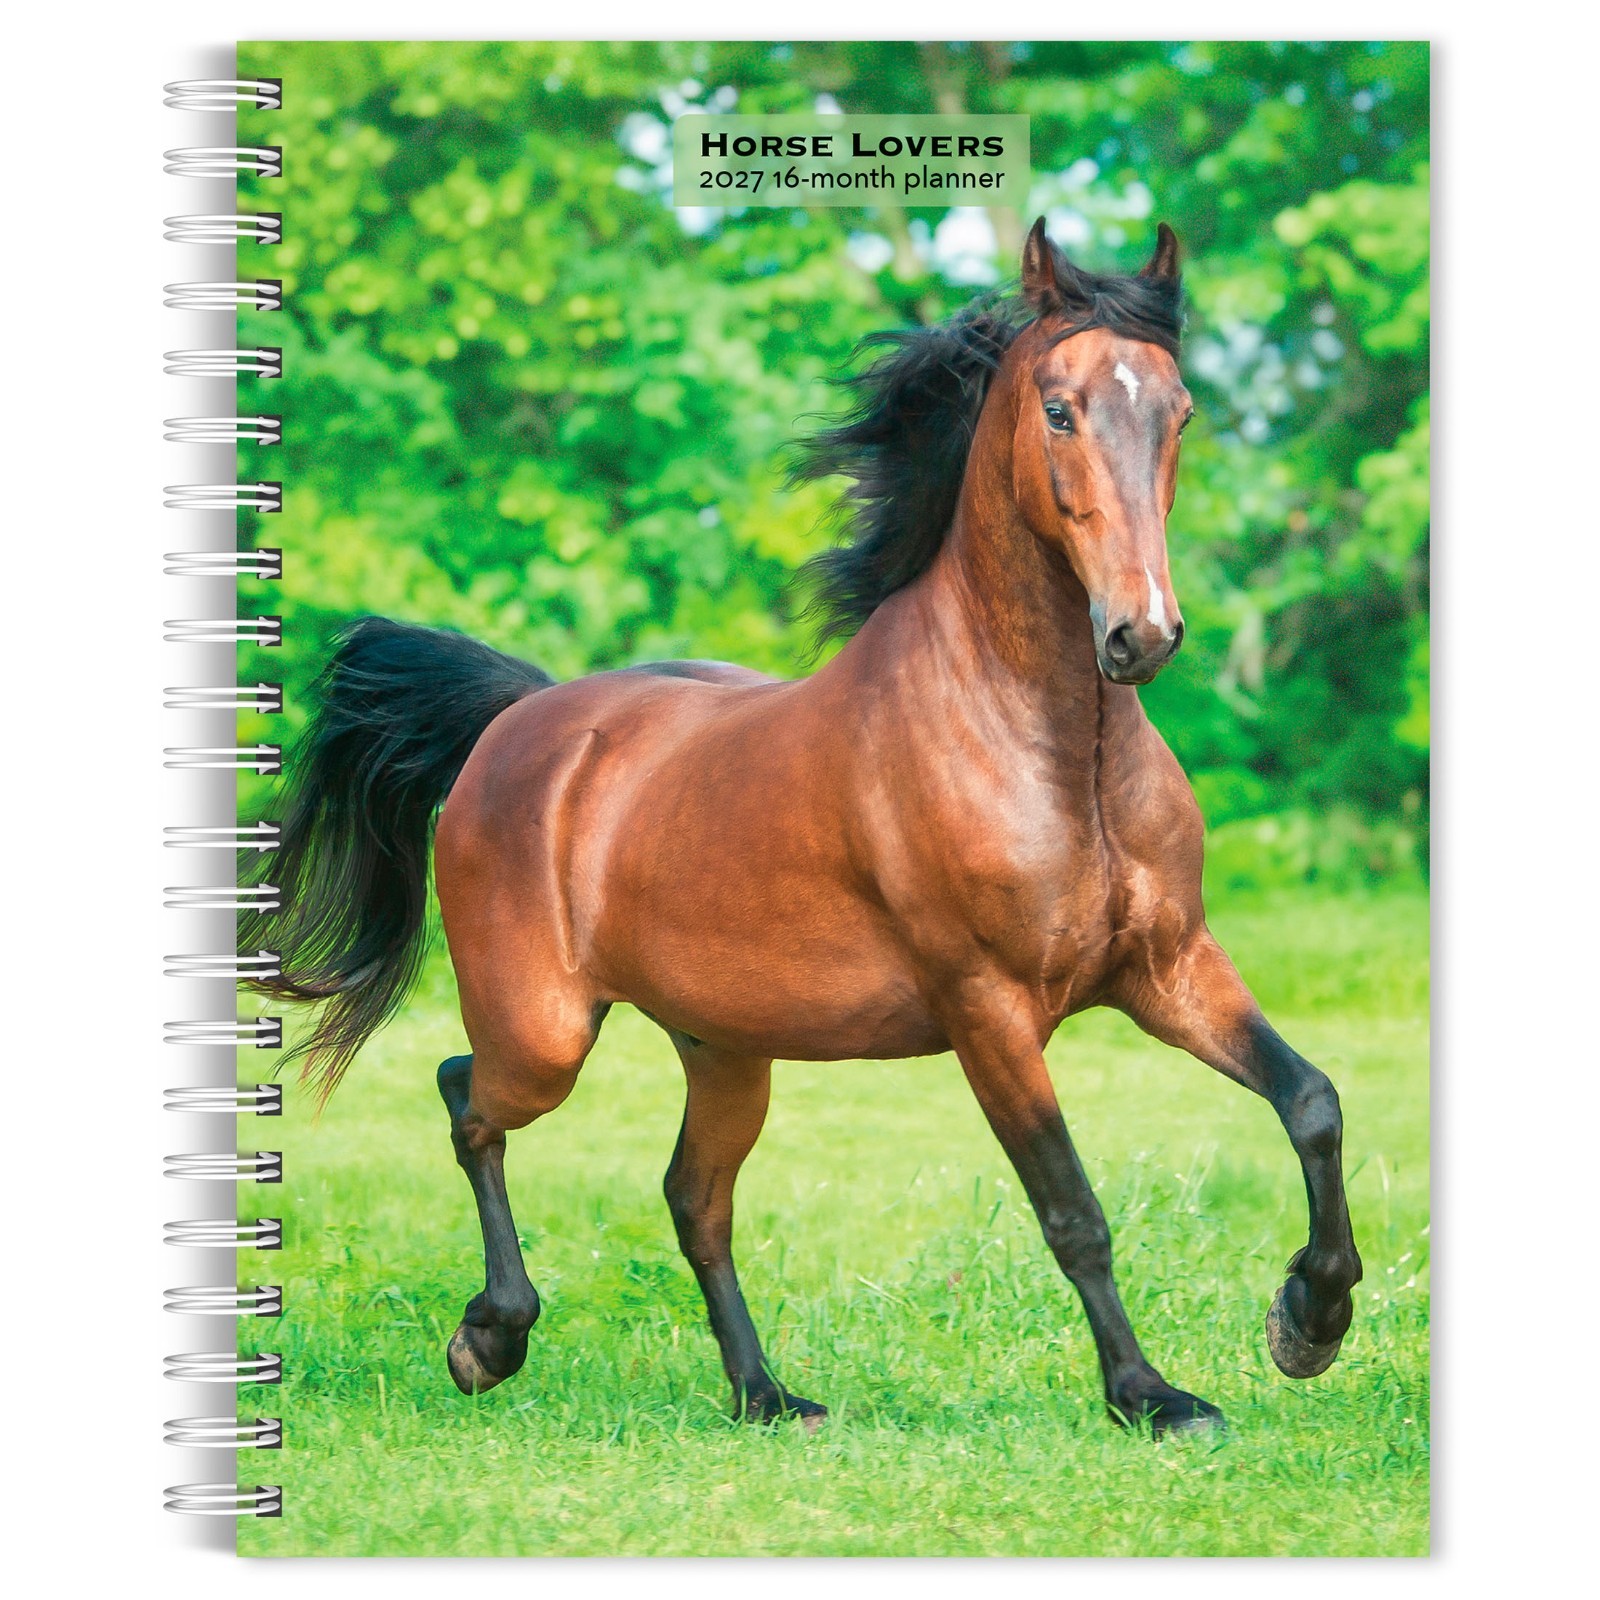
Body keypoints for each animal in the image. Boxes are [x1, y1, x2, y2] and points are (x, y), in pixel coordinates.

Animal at [254, 220, 1362, 1437]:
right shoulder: (988, 1010)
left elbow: (1311, 1100)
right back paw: (489, 1338)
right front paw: (1151, 1396)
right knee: (468, 1099)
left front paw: (1310, 1321)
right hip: (543, 1032)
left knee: (692, 1195)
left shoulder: (1168, 967)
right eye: (1061, 409)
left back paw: (763, 1393)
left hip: (725, 1048)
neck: (1056, 755)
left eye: (1180, 411)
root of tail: (518, 720)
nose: (1141, 634)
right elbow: (1072, 1208)